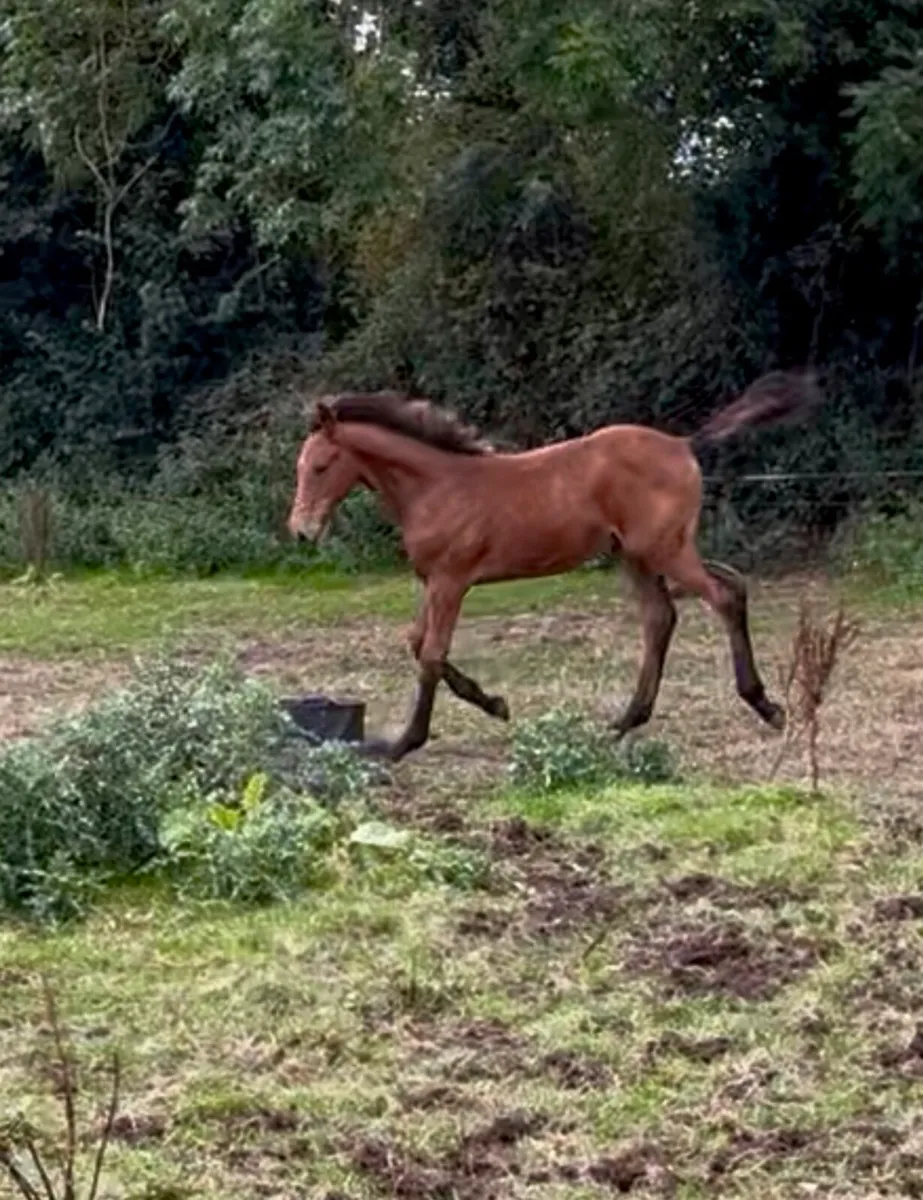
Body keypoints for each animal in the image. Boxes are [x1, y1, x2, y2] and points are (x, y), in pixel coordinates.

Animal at [287, 372, 820, 761]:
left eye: (320, 467)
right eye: (300, 467)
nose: (301, 532)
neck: (437, 488)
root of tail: (682, 443)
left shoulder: (451, 581)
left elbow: (433, 654)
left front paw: (403, 743)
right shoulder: (432, 581)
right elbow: (418, 643)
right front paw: (496, 705)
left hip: (663, 551)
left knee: (721, 596)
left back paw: (765, 706)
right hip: (643, 554)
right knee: (678, 609)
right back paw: (628, 720)